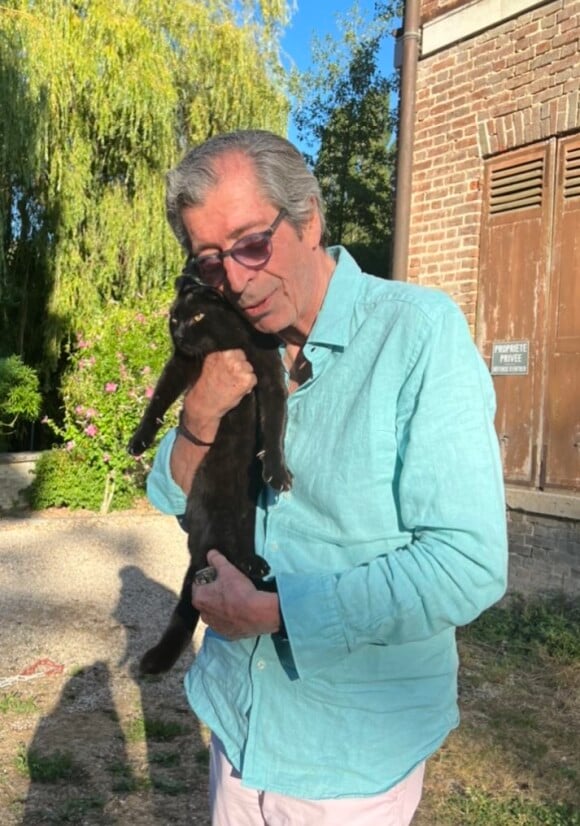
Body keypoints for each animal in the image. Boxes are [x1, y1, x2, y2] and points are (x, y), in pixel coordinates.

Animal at [128, 274, 288, 672]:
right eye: (174, 318)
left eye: (198, 316)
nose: (181, 333)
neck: (227, 343)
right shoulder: (182, 364)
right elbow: (157, 400)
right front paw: (138, 441)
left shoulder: (269, 375)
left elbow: (275, 427)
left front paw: (276, 471)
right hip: (217, 525)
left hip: (241, 523)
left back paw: (258, 569)